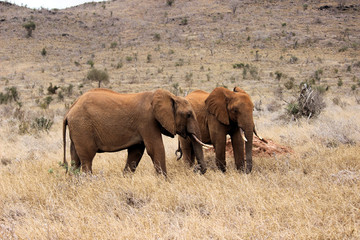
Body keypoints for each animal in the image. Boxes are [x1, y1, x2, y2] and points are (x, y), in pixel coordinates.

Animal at [62, 88, 208, 176]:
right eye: (189, 115)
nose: (197, 170)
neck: (170, 96)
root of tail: (69, 111)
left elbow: (136, 153)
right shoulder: (147, 120)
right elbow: (156, 149)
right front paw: (166, 182)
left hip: (78, 129)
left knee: (75, 160)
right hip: (82, 127)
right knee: (87, 159)